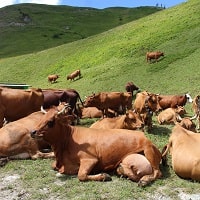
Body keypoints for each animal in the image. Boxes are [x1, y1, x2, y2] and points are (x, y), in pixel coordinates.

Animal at [30, 106, 162, 186]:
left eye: (50, 122)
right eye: (41, 118)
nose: (32, 132)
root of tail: (143, 135)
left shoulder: (90, 159)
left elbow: (81, 175)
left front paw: (104, 176)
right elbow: (53, 166)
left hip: (148, 151)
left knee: (157, 173)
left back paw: (144, 180)